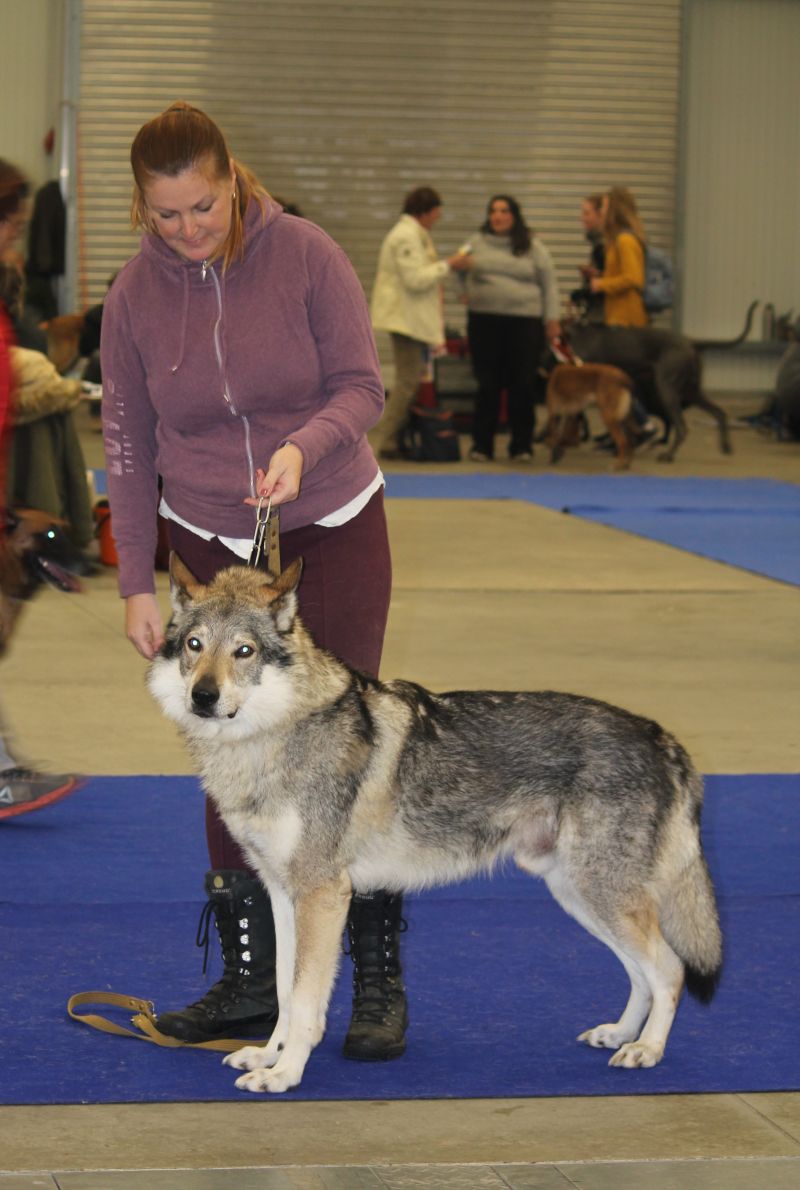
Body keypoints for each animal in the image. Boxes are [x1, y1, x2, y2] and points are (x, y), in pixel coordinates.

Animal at [147, 556, 723, 1094]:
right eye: (195, 645)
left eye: (243, 651)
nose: (203, 696)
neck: (268, 739)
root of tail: (661, 737)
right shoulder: (282, 893)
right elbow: (287, 994)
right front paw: (267, 1056)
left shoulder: (322, 895)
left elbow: (307, 1000)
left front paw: (285, 1075)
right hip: (580, 896)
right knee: (641, 973)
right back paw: (621, 1034)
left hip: (601, 893)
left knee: (669, 969)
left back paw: (646, 1050)